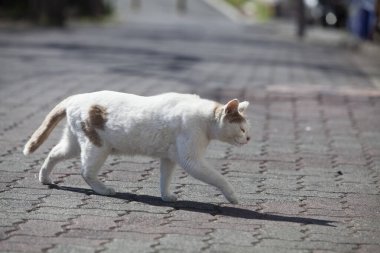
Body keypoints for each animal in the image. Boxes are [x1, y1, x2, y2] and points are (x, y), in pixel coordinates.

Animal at [23, 91, 249, 204]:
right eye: (242, 128)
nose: (249, 138)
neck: (205, 119)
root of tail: (75, 97)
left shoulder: (170, 158)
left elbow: (165, 179)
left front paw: (166, 196)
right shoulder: (191, 160)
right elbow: (219, 178)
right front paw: (232, 196)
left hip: (74, 144)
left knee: (53, 154)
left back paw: (44, 178)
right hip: (96, 147)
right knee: (86, 172)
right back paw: (104, 190)